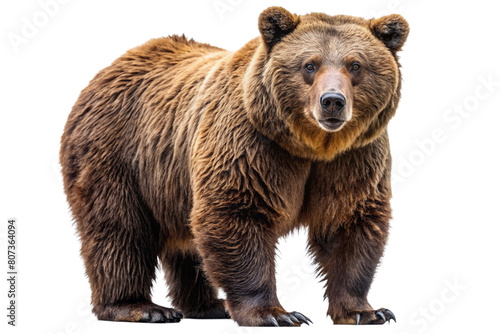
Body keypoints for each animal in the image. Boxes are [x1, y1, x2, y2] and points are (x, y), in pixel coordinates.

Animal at [60, 7, 408, 326]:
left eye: (355, 65)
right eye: (309, 64)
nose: (332, 101)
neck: (312, 145)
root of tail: (107, 70)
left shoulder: (354, 158)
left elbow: (350, 224)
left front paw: (367, 311)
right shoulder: (251, 145)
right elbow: (237, 214)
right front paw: (276, 314)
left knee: (186, 245)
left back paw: (208, 306)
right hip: (118, 154)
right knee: (119, 229)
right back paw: (141, 307)